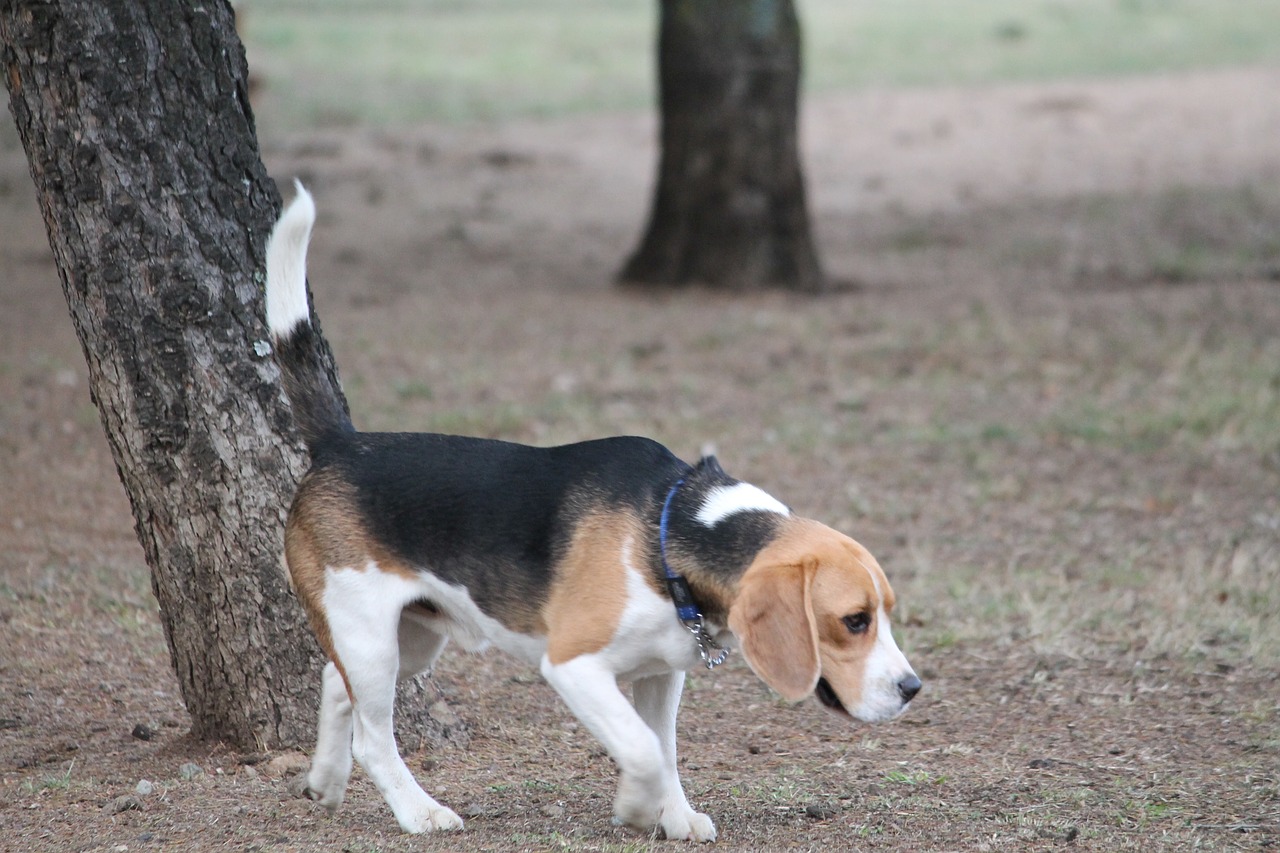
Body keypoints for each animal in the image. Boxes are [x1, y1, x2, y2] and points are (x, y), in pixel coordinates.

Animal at [264, 183, 916, 840]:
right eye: (854, 620)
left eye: (886, 612)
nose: (912, 688)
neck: (670, 531)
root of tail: (342, 443)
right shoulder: (574, 665)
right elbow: (644, 749)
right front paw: (637, 806)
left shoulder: (662, 673)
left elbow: (666, 748)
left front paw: (674, 815)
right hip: (372, 636)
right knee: (373, 737)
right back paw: (420, 811)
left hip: (414, 636)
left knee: (335, 683)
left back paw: (325, 781)